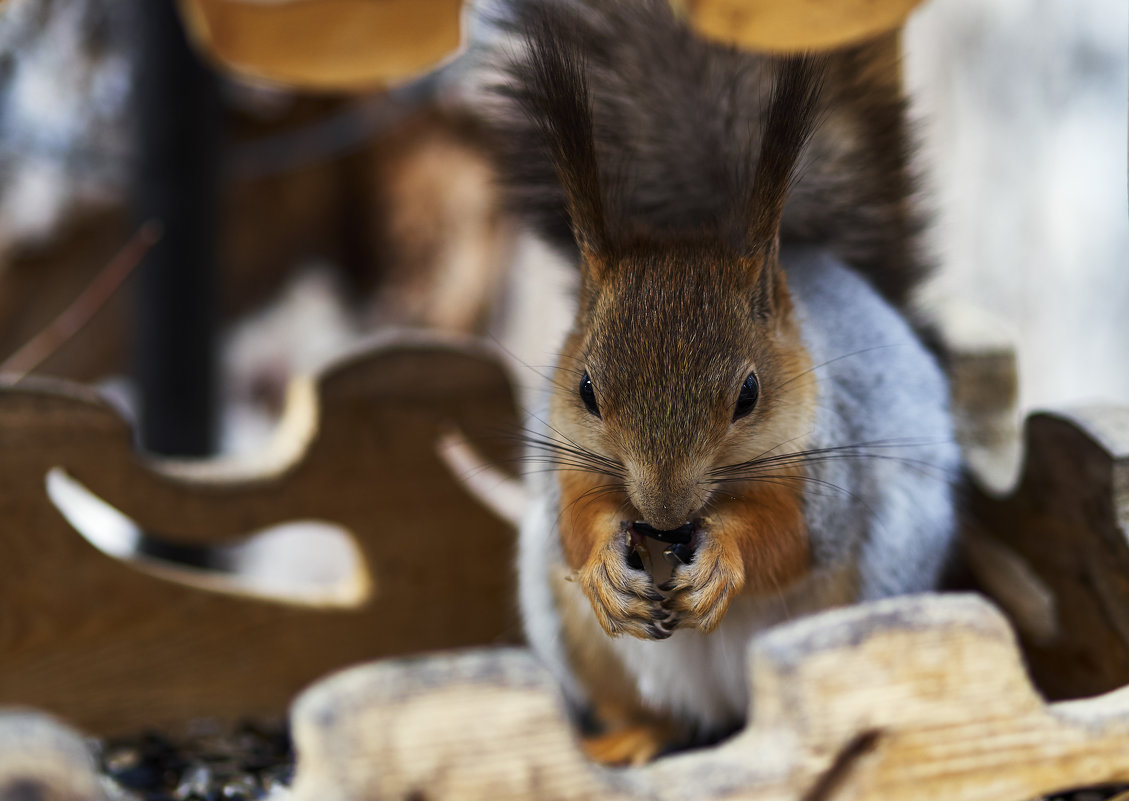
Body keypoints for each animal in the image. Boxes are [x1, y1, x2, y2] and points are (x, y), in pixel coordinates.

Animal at [467, 0, 961, 763]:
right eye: (586, 390)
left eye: (749, 393)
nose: (665, 515)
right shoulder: (563, 457)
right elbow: (575, 520)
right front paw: (603, 564)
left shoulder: (825, 467)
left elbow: (789, 538)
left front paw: (725, 557)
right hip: (580, 641)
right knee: (658, 714)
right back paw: (625, 741)